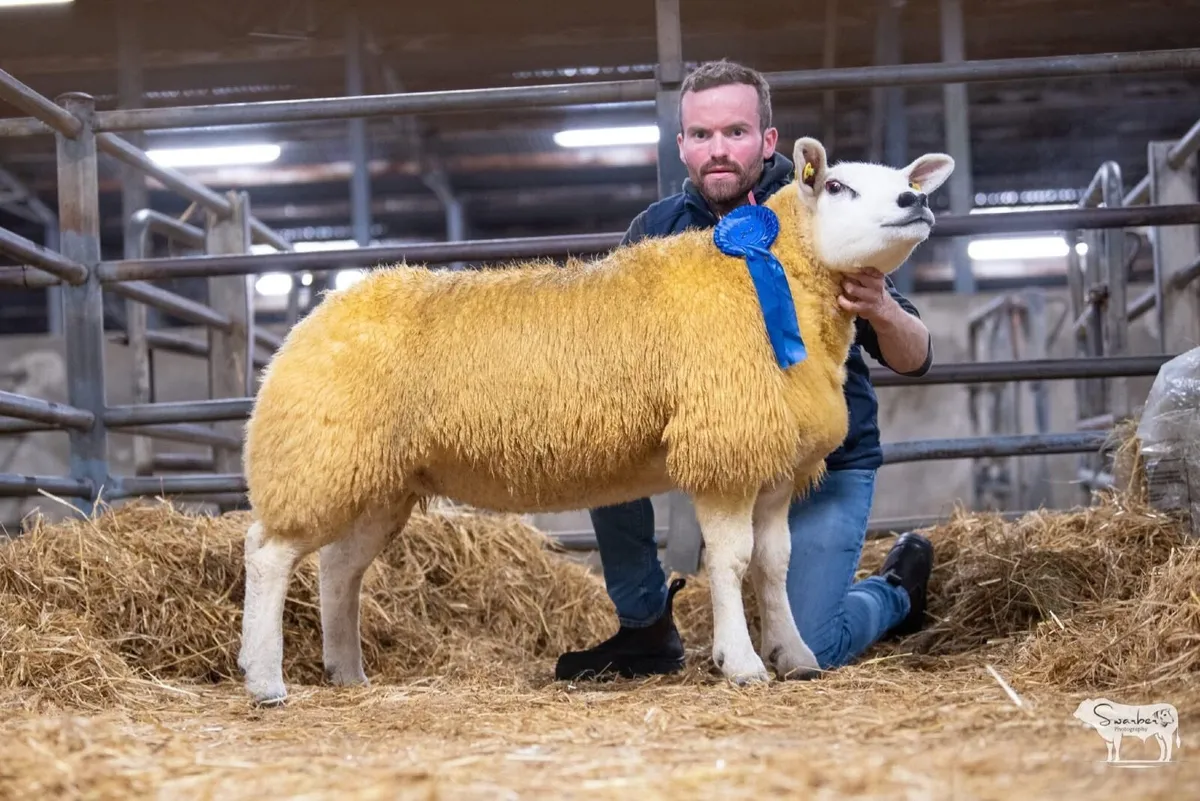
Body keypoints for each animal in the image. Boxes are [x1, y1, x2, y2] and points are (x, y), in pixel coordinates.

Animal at [236, 136, 954, 706]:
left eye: (909, 181)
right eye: (835, 185)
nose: (913, 203)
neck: (768, 279)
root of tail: (317, 314)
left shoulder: (773, 464)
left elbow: (775, 565)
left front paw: (795, 655)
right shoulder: (723, 449)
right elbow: (732, 561)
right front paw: (742, 663)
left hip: (377, 479)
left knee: (338, 568)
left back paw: (346, 671)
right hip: (318, 457)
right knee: (269, 553)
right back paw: (266, 680)